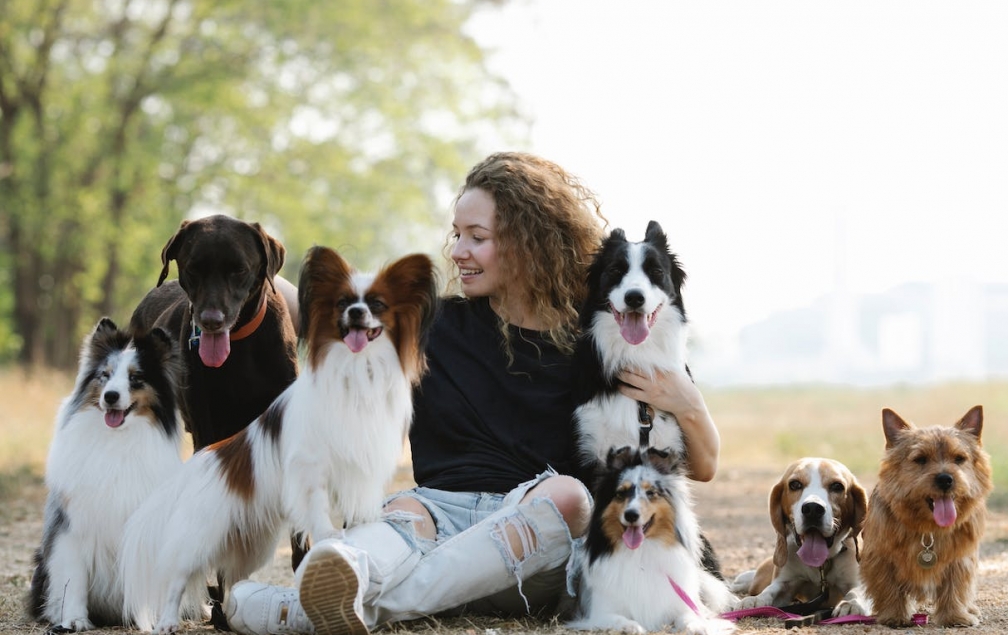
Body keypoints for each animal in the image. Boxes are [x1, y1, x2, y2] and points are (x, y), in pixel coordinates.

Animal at [28, 318, 189, 632]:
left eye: (136, 378)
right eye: (105, 375)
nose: (110, 396)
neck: (117, 439)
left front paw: (145, 622)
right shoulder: (71, 527)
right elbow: (73, 578)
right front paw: (74, 620)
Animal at [117, 248, 437, 635]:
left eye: (377, 304)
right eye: (343, 304)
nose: (356, 313)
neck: (357, 372)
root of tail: (197, 466)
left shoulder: (362, 466)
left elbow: (359, 511)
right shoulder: (309, 466)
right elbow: (317, 509)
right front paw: (330, 539)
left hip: (249, 545)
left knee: (231, 577)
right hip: (200, 538)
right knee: (179, 578)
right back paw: (167, 621)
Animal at [568, 447, 741, 635]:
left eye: (651, 493)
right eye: (621, 493)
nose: (631, 515)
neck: (642, 552)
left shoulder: (682, 603)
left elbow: (689, 617)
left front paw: (698, 626)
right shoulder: (601, 612)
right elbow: (618, 619)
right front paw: (632, 627)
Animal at [858, 407, 991, 628]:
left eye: (959, 458)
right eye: (920, 459)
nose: (945, 479)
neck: (929, 529)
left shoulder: (960, 560)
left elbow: (955, 588)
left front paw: (955, 616)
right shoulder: (880, 557)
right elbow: (888, 586)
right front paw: (894, 615)